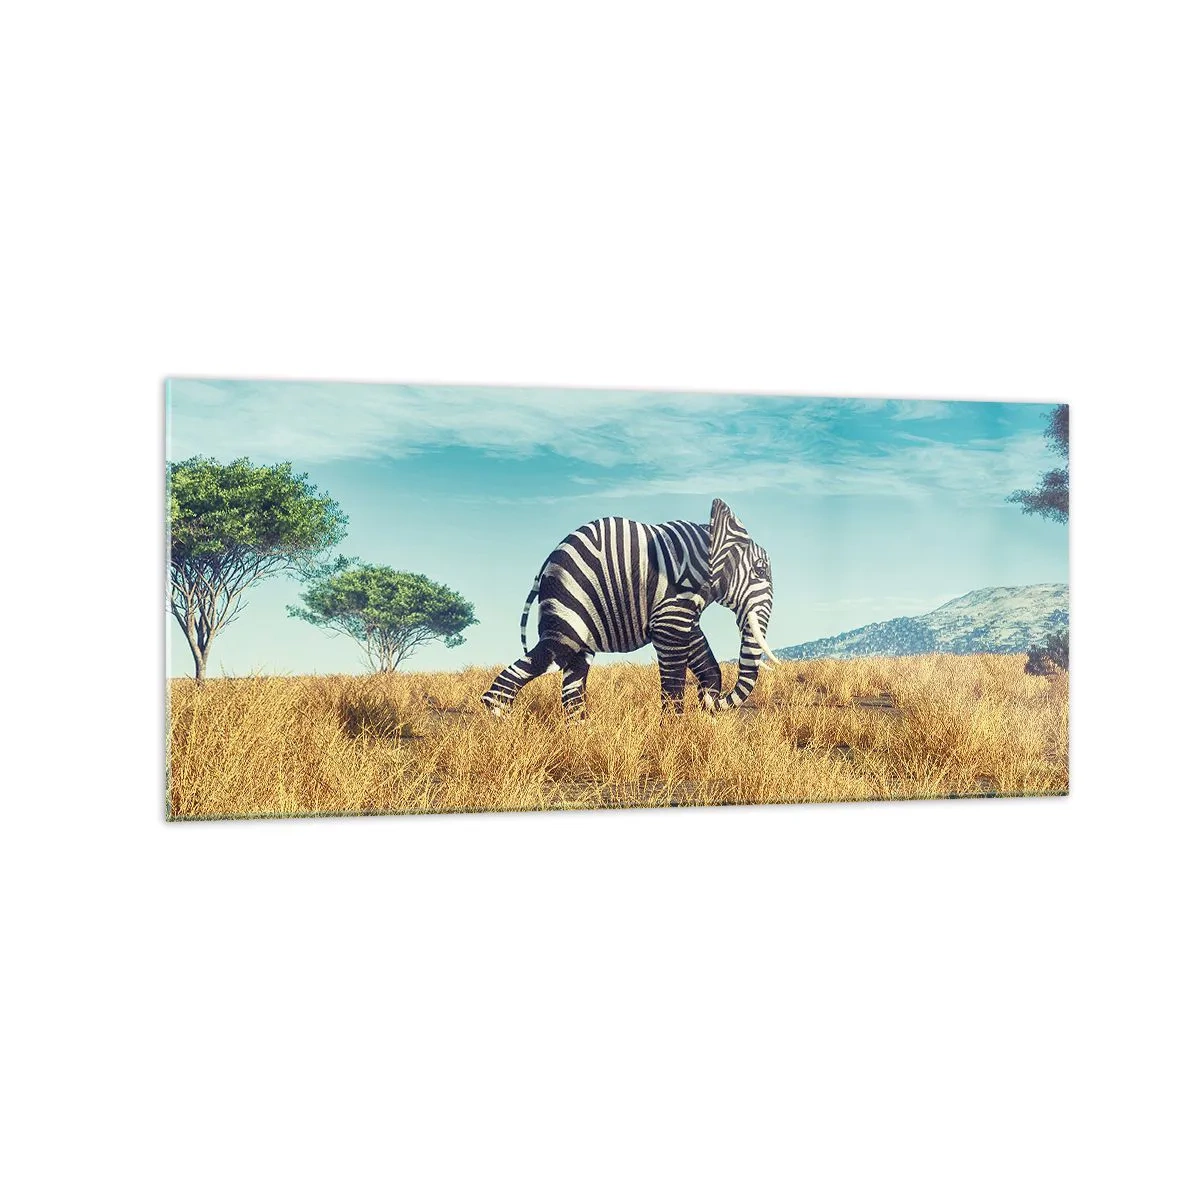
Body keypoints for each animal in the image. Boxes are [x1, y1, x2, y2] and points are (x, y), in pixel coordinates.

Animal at [482, 498, 779, 717]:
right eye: (760, 570)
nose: (709, 700)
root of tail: (546, 562)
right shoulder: (671, 605)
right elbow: (674, 673)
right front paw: (674, 734)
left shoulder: (683, 610)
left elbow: (706, 661)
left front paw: (705, 714)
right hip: (569, 602)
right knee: (551, 656)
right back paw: (500, 724)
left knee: (574, 678)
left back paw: (582, 738)